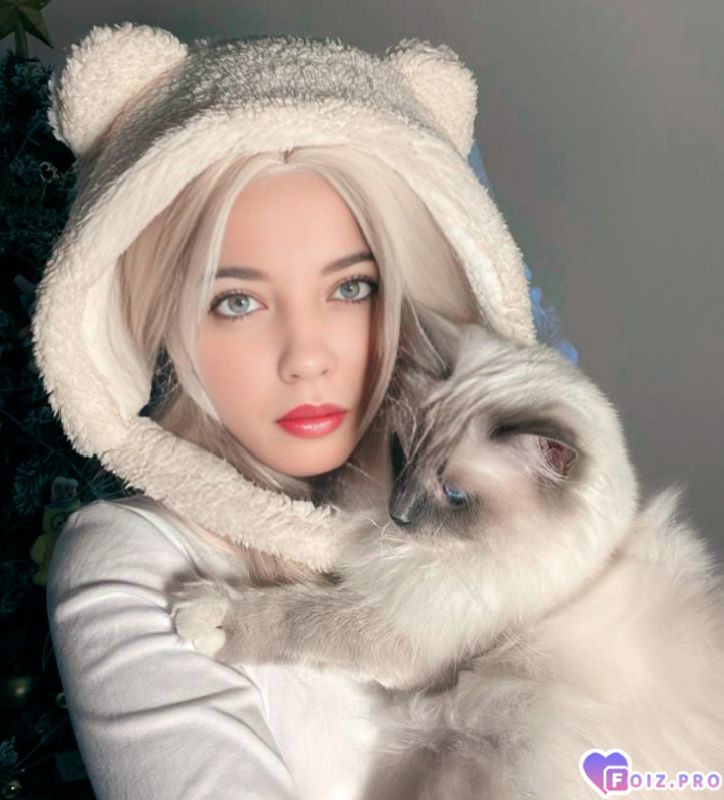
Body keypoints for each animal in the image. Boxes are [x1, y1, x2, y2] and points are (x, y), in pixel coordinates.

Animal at [169, 309, 724, 799]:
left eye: (455, 496)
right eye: (399, 456)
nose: (399, 513)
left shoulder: (413, 624)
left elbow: (301, 614)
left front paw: (208, 616)